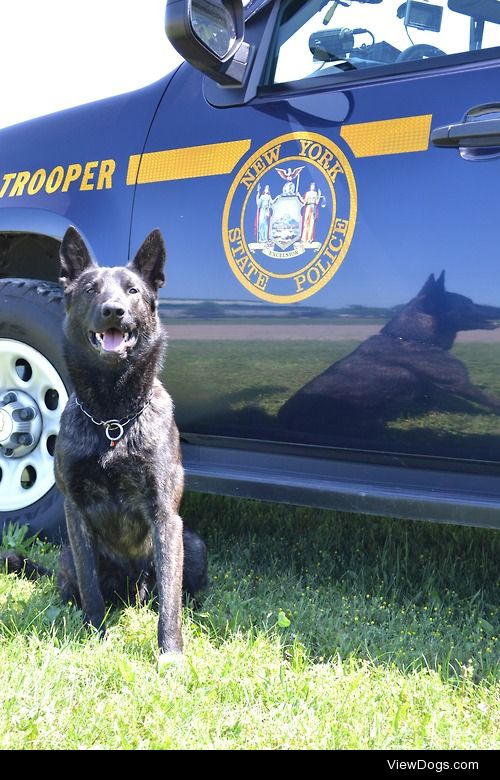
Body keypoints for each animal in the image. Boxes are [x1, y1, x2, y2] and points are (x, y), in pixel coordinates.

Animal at [0, 224, 207, 660]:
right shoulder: (76, 514)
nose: (114, 310)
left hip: (192, 543)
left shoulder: (165, 516)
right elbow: (91, 587)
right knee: (73, 586)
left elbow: (170, 602)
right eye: (91, 289)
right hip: (66, 554)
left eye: (133, 291)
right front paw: (94, 633)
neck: (113, 420)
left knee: (174, 592)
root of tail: (132, 592)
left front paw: (170, 653)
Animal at [280, 272, 500, 432]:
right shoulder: (461, 384)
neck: (410, 337)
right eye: (469, 303)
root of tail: (283, 419)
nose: (497, 308)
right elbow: (492, 401)